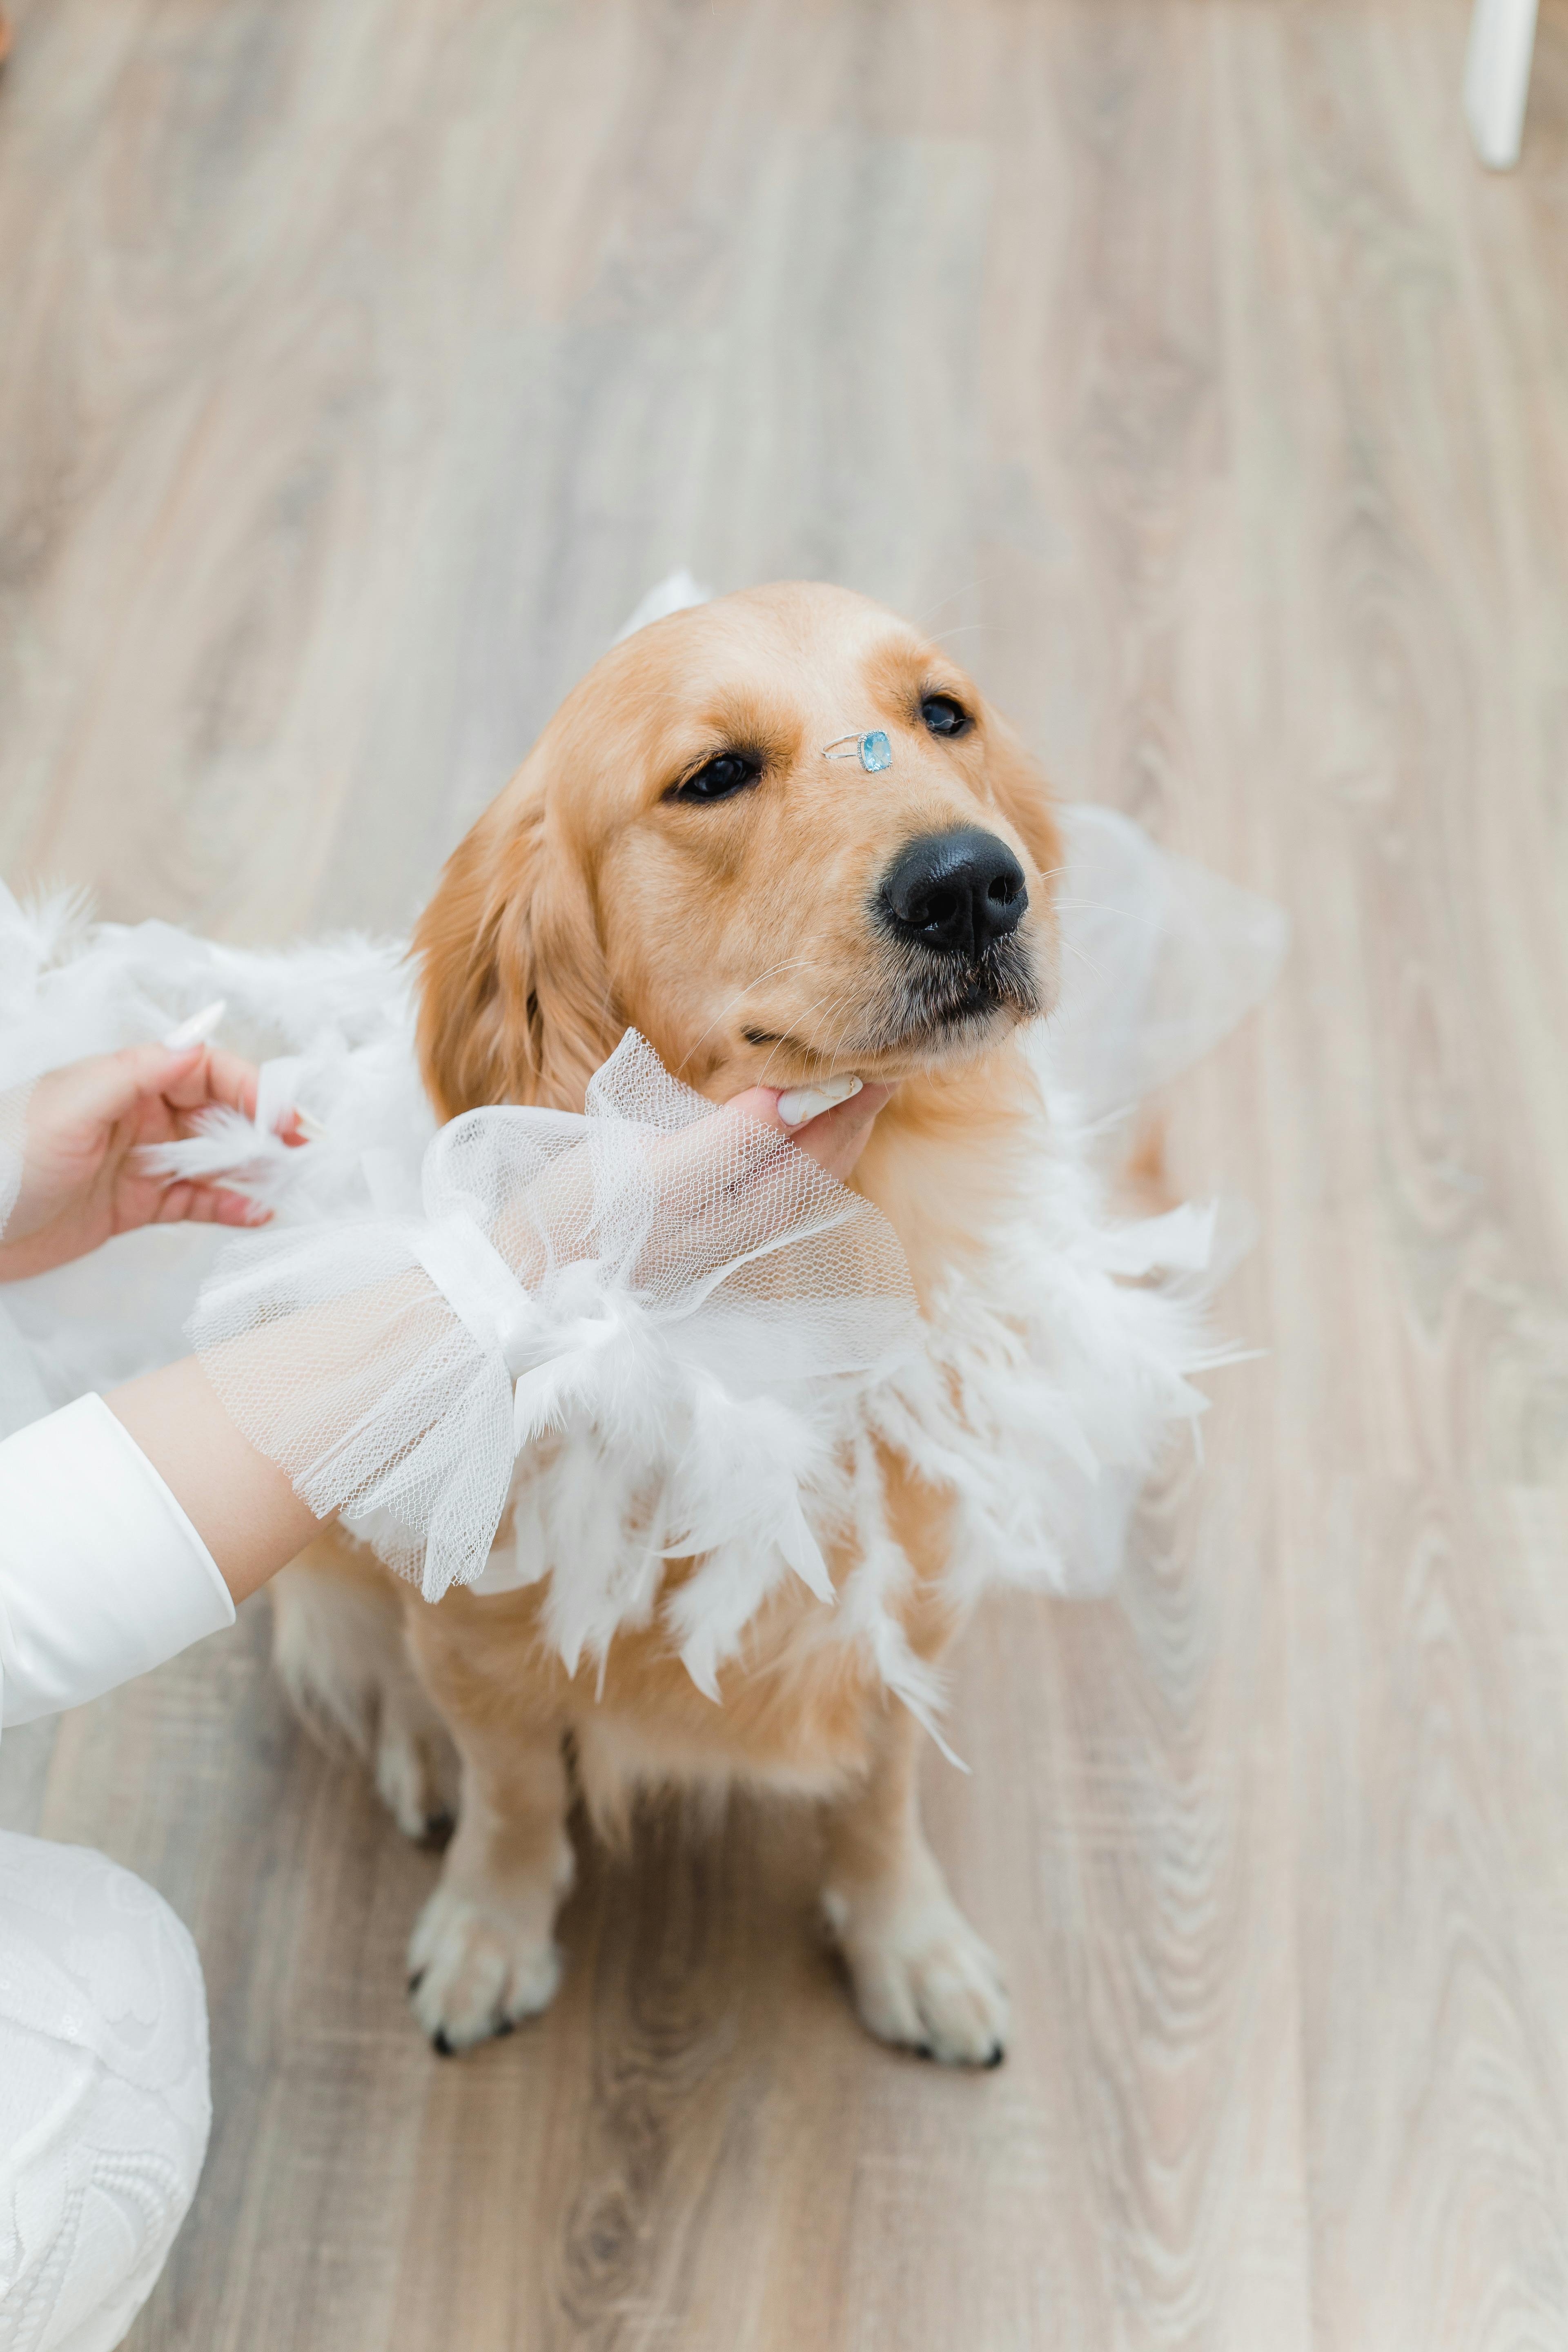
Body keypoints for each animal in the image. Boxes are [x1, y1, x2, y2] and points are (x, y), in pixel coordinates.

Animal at [276, 578, 1072, 2069]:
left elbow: (881, 1787)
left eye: (945, 714)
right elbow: (515, 1788)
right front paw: (491, 1926)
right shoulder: (488, 1628)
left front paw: (911, 1942)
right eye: (712, 777)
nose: (970, 882)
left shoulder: (911, 1590)